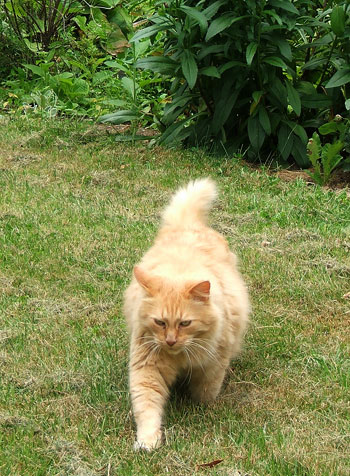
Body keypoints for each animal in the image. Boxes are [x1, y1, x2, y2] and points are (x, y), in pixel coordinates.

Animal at [123, 178, 249, 450]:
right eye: (160, 322)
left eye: (185, 323)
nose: (170, 341)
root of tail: (188, 226)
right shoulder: (147, 369)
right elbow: (147, 408)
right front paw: (148, 441)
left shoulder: (214, 363)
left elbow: (206, 390)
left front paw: (202, 407)